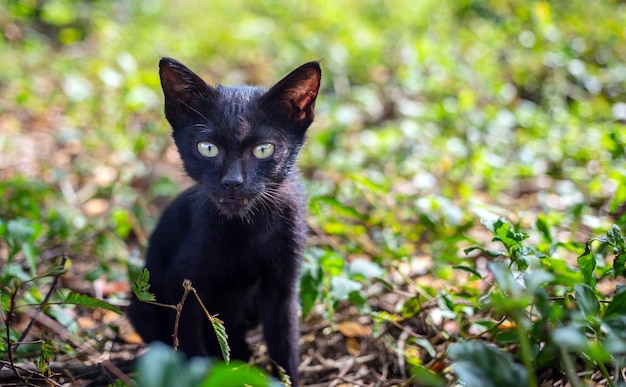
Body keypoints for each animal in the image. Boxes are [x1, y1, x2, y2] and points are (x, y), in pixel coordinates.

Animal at [127, 58, 322, 384]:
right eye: (208, 148)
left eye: (263, 149)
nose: (232, 182)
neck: (246, 227)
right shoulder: (182, 286)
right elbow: (190, 347)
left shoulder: (282, 288)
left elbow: (285, 347)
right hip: (141, 306)